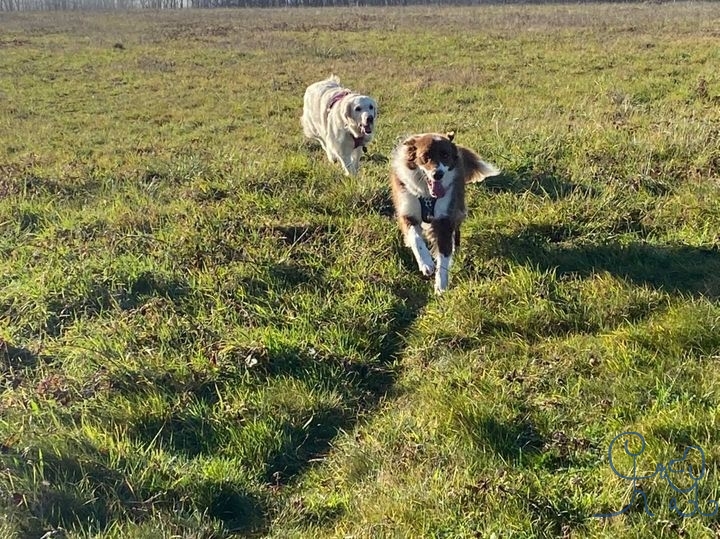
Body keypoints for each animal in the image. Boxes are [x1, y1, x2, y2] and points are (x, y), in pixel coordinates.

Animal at [388, 132, 500, 294]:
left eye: (445, 155)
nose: (438, 174)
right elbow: (416, 239)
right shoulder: (407, 212)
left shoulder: (444, 219)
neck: (427, 194)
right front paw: (426, 263)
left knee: (456, 231)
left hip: (458, 207)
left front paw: (441, 285)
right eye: (425, 156)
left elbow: (444, 253)